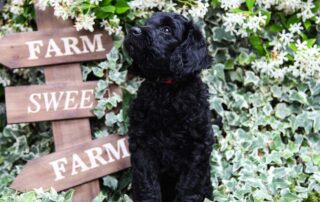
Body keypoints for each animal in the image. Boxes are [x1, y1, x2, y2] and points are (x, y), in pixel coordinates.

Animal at [124, 12, 214, 202]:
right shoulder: (142, 146)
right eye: (146, 23)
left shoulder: (198, 148)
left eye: (167, 30)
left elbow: (189, 188)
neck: (166, 89)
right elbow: (148, 186)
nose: (133, 31)